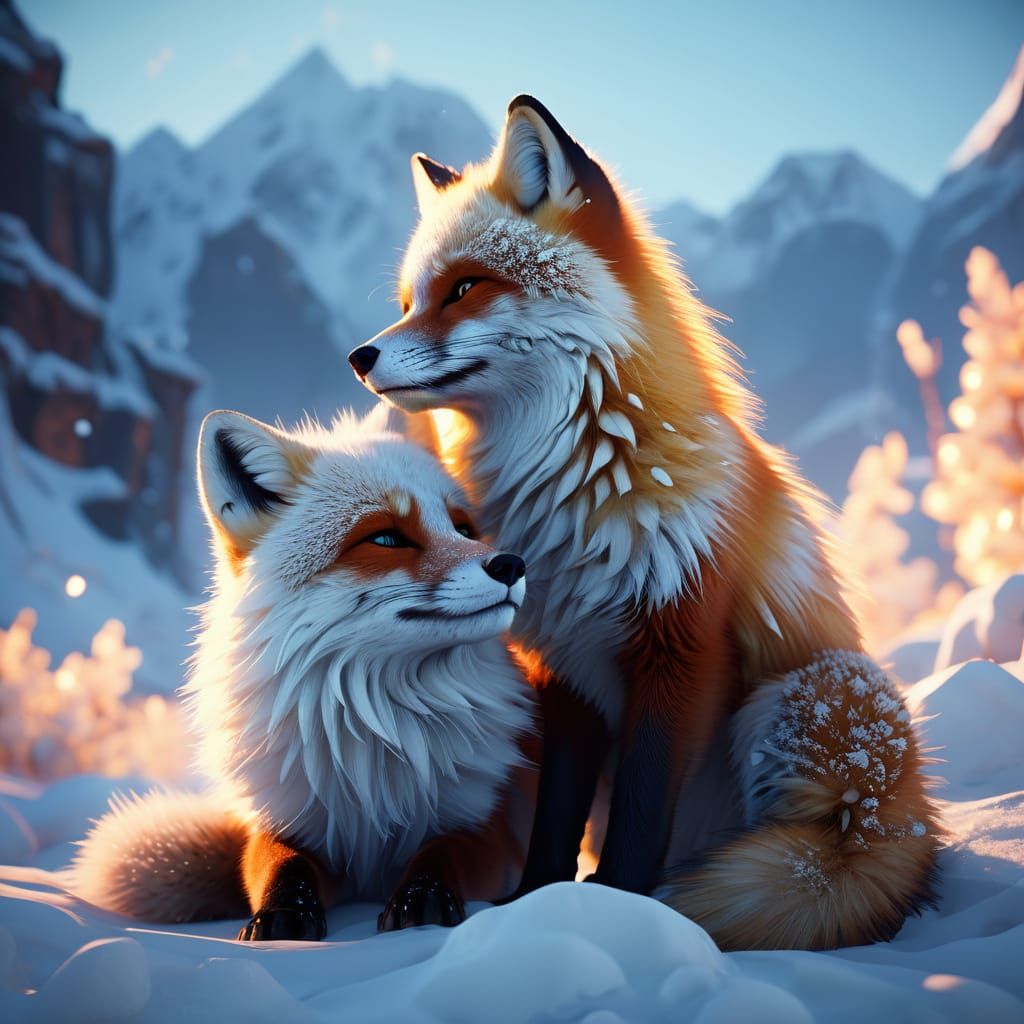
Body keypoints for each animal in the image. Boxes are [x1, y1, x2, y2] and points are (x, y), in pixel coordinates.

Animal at [73, 406, 535, 939]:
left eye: (464, 530)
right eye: (386, 537)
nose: (512, 565)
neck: (380, 732)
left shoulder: (488, 822)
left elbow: (443, 852)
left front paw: (422, 897)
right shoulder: (291, 822)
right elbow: (280, 864)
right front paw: (283, 913)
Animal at [346, 95, 942, 950]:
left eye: (464, 288)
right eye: (409, 304)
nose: (359, 356)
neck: (582, 488)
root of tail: (915, 823)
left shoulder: (680, 649)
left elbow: (640, 812)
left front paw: (623, 909)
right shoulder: (561, 665)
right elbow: (557, 818)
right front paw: (536, 907)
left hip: (812, 691)